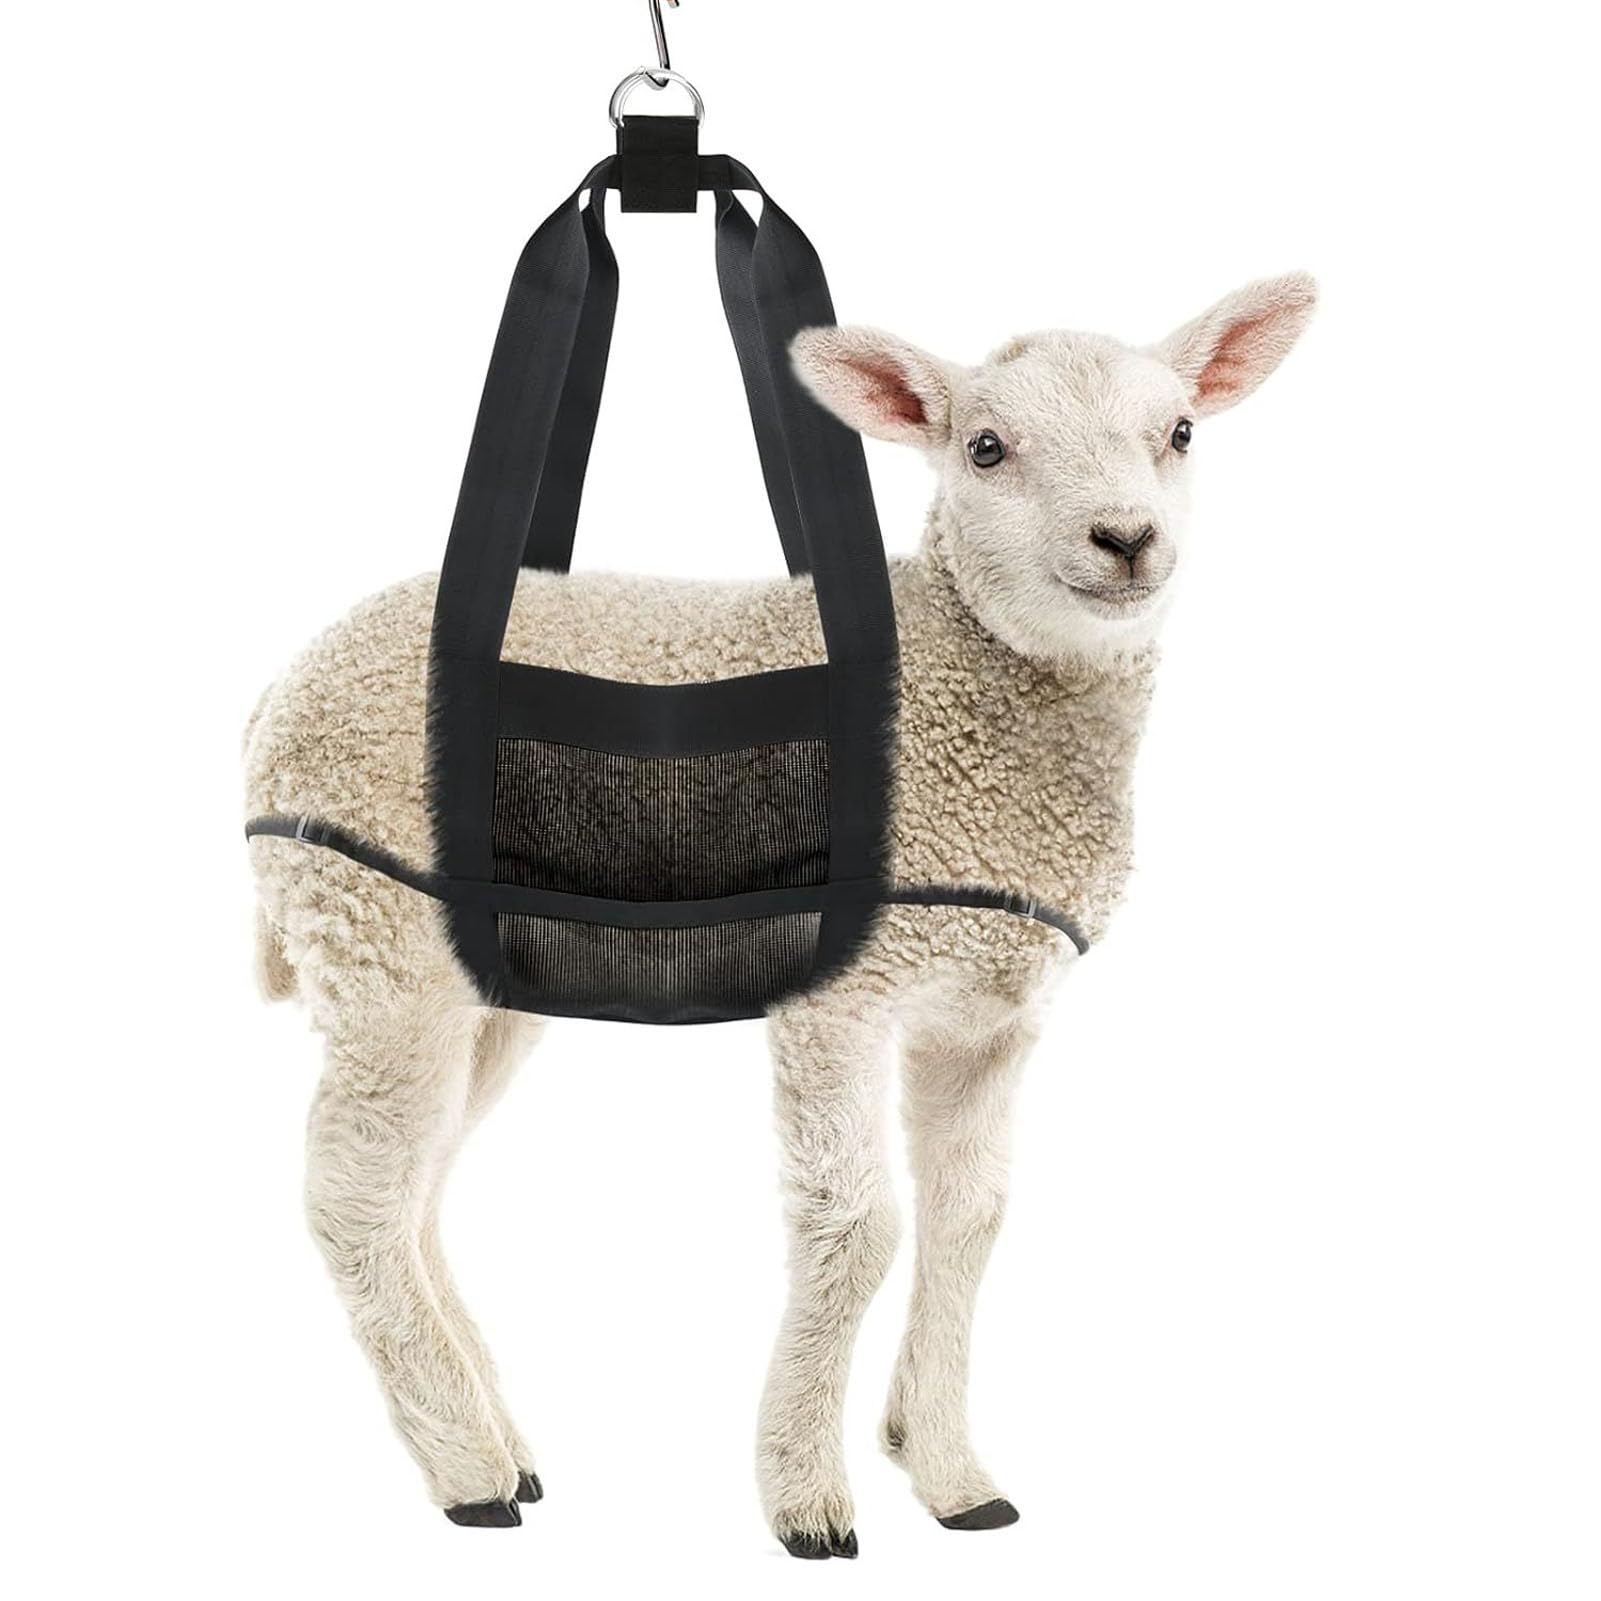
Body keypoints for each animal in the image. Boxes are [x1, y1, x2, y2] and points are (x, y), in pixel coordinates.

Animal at [243, 270, 1316, 1555]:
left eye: (1181, 431)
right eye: (985, 447)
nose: (1124, 538)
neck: (978, 702)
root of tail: (277, 696)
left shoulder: (988, 1012)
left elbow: (968, 1221)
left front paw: (948, 1470)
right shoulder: (840, 994)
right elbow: (858, 1229)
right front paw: (806, 1494)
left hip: (475, 976)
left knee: (421, 1180)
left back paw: (499, 1441)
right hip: (374, 929)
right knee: (353, 1189)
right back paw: (468, 1472)